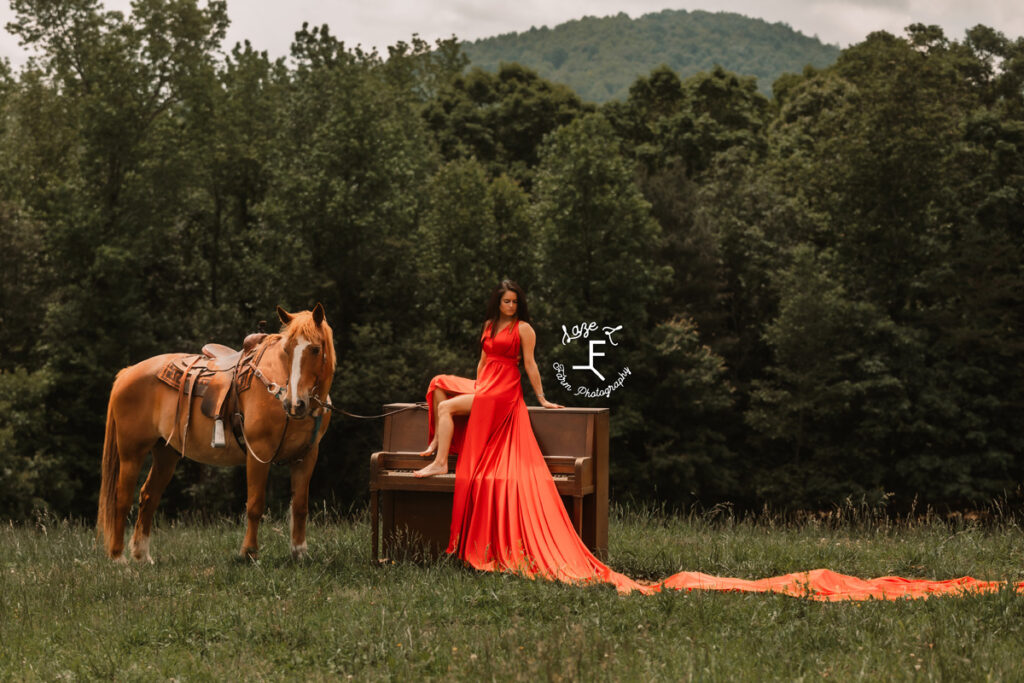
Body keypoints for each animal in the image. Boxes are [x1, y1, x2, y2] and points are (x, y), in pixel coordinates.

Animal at [96, 305, 335, 561]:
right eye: (287, 350)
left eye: (315, 349)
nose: (294, 404)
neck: (276, 386)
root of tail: (128, 372)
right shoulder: (258, 453)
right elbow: (255, 505)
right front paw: (249, 553)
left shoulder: (306, 456)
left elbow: (300, 506)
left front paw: (300, 553)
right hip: (131, 453)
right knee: (122, 499)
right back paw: (118, 557)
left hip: (165, 453)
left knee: (149, 496)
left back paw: (142, 556)